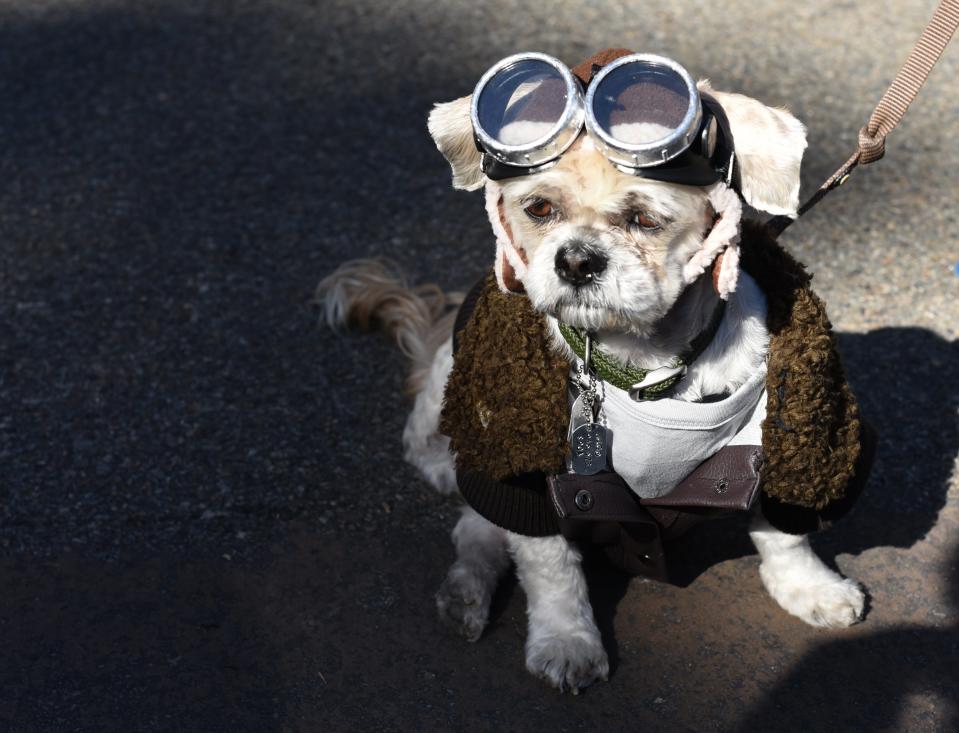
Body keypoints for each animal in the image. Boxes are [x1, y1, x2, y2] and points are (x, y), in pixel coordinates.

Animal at [320, 50, 872, 692]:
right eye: (539, 208)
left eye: (645, 219)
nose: (577, 259)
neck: (645, 365)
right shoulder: (527, 474)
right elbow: (552, 569)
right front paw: (566, 641)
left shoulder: (782, 438)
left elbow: (783, 531)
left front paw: (810, 588)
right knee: (472, 529)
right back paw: (465, 590)